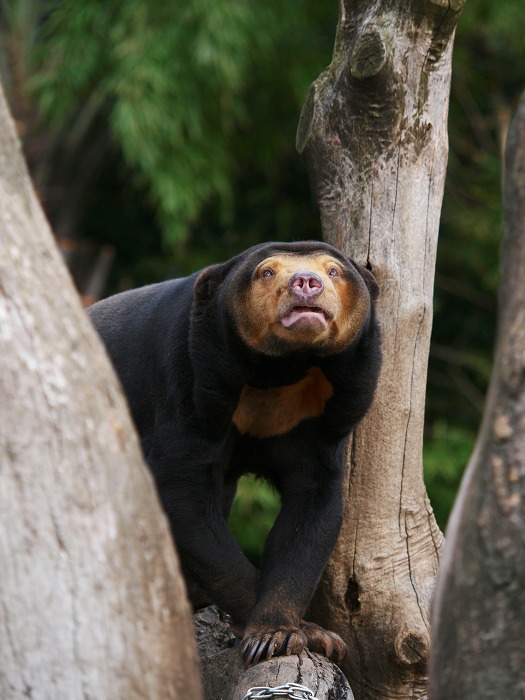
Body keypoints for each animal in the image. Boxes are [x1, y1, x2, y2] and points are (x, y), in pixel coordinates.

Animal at [87, 239, 380, 668]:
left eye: (333, 271)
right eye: (266, 272)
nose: (306, 282)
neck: (282, 370)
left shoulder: (331, 416)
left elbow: (312, 509)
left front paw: (302, 635)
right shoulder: (191, 385)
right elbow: (184, 495)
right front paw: (273, 635)